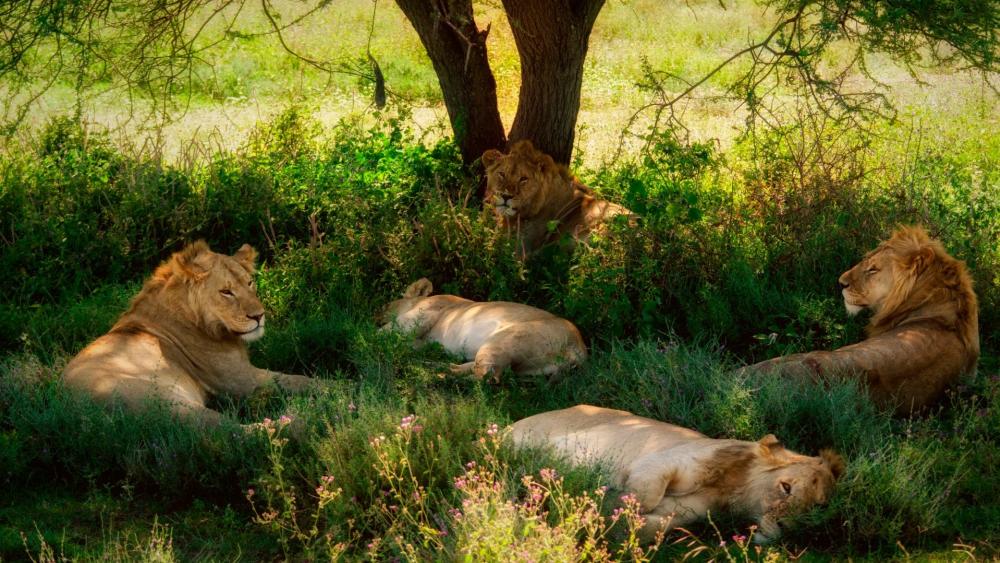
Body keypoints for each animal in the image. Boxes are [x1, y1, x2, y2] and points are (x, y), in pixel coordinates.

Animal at [61, 241, 320, 428]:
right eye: (226, 292)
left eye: (249, 283)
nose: (259, 316)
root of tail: (76, 412)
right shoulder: (240, 380)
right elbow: (300, 380)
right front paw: (331, 389)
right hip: (171, 403)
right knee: (234, 431)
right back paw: (303, 423)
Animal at [508, 406, 844, 548]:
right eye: (785, 487)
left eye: (816, 507)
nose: (787, 527)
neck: (730, 490)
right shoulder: (662, 460)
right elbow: (644, 495)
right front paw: (604, 501)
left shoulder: (689, 513)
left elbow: (651, 526)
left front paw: (606, 517)